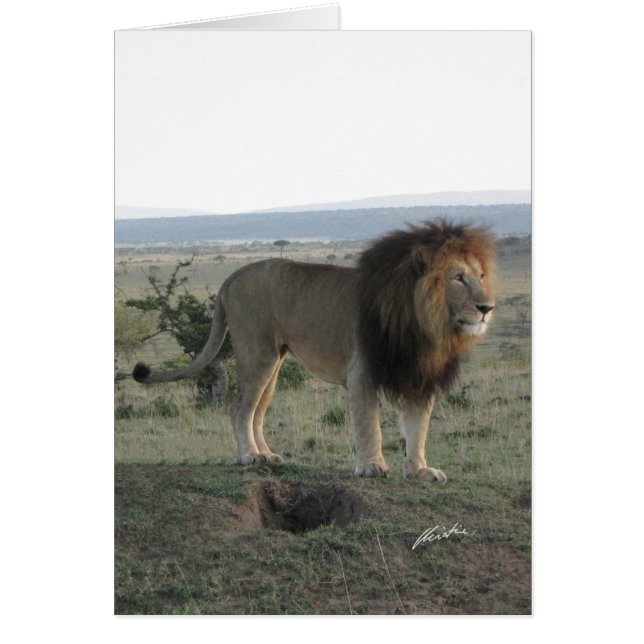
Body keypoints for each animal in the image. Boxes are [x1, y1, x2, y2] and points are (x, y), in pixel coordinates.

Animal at [133, 219, 496, 482]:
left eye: (481, 275)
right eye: (458, 278)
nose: (487, 308)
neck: (424, 324)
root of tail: (230, 279)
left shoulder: (419, 374)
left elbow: (418, 427)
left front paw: (420, 470)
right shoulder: (362, 371)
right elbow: (369, 423)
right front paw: (371, 466)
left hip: (274, 362)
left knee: (257, 412)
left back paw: (267, 457)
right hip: (257, 352)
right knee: (239, 409)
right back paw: (250, 456)